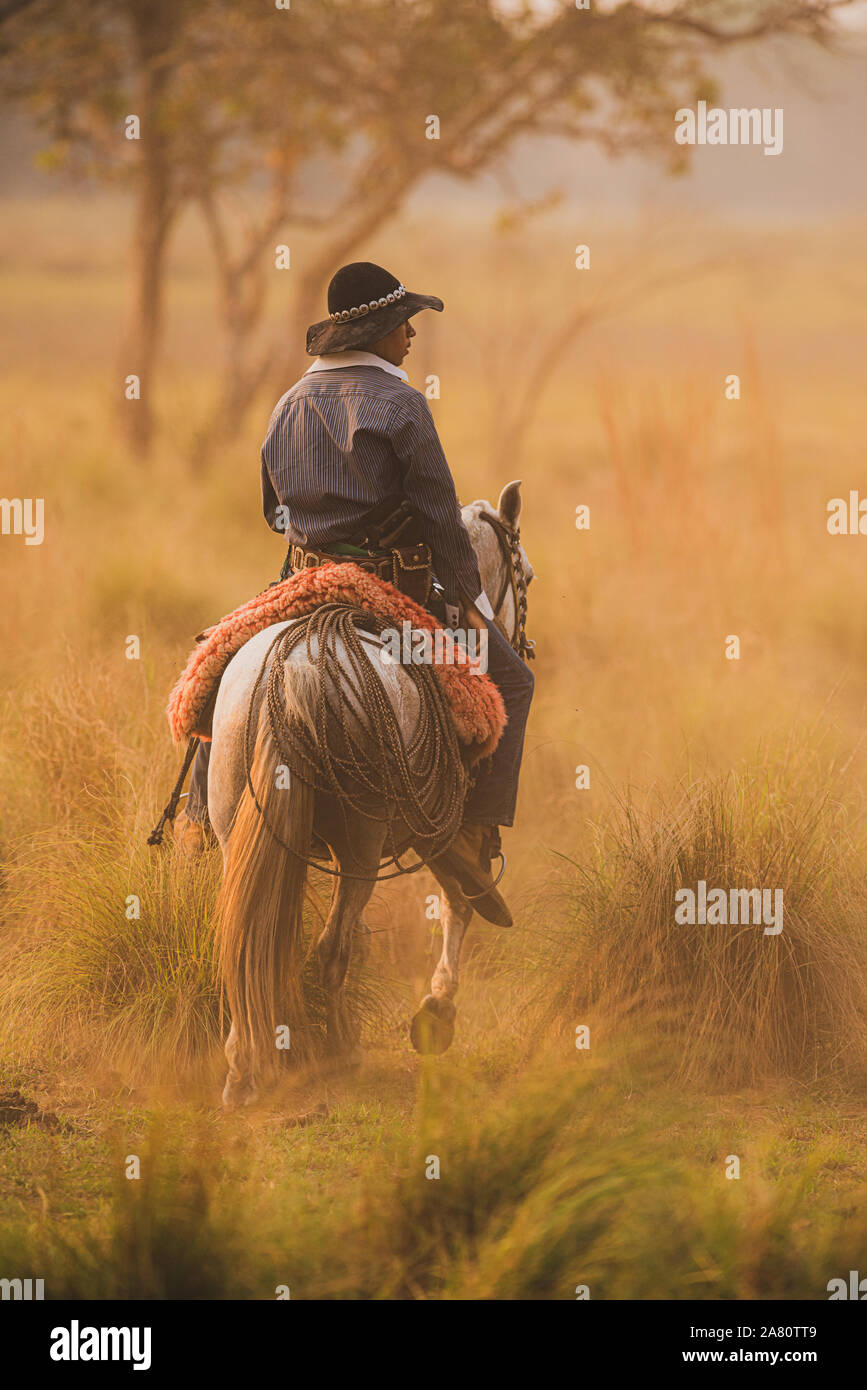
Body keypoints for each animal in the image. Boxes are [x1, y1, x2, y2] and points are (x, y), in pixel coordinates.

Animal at [208, 480, 533, 1108]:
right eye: (525, 576)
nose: (524, 644)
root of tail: (296, 667)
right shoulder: (447, 824)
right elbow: (460, 898)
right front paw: (437, 1010)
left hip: (238, 824)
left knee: (244, 939)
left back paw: (241, 1069)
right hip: (360, 845)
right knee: (330, 951)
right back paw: (341, 1053)